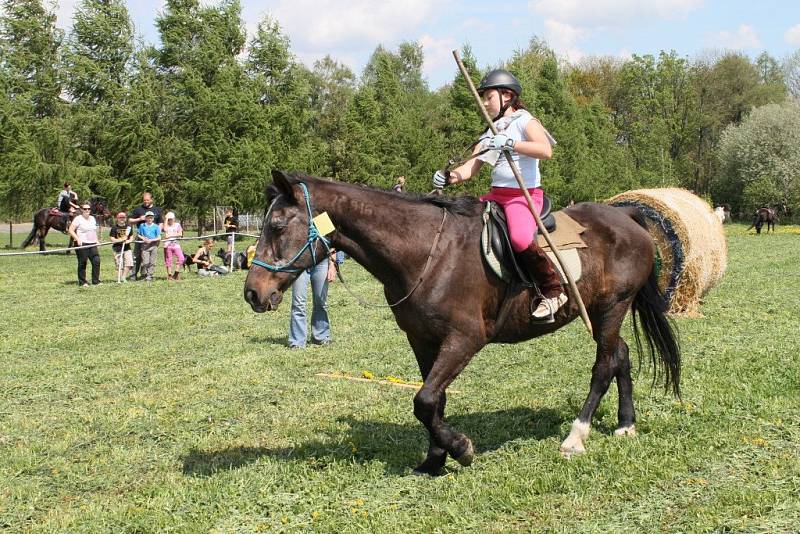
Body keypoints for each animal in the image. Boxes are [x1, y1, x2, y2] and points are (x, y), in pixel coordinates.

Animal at [244, 173, 680, 478]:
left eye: (278, 226)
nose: (252, 292)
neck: (426, 251)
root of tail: (624, 214)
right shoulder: (422, 340)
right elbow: (433, 400)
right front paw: (435, 458)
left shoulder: (465, 339)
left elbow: (423, 400)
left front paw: (460, 449)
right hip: (599, 312)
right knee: (621, 355)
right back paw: (626, 424)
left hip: (611, 308)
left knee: (603, 366)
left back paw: (577, 436)